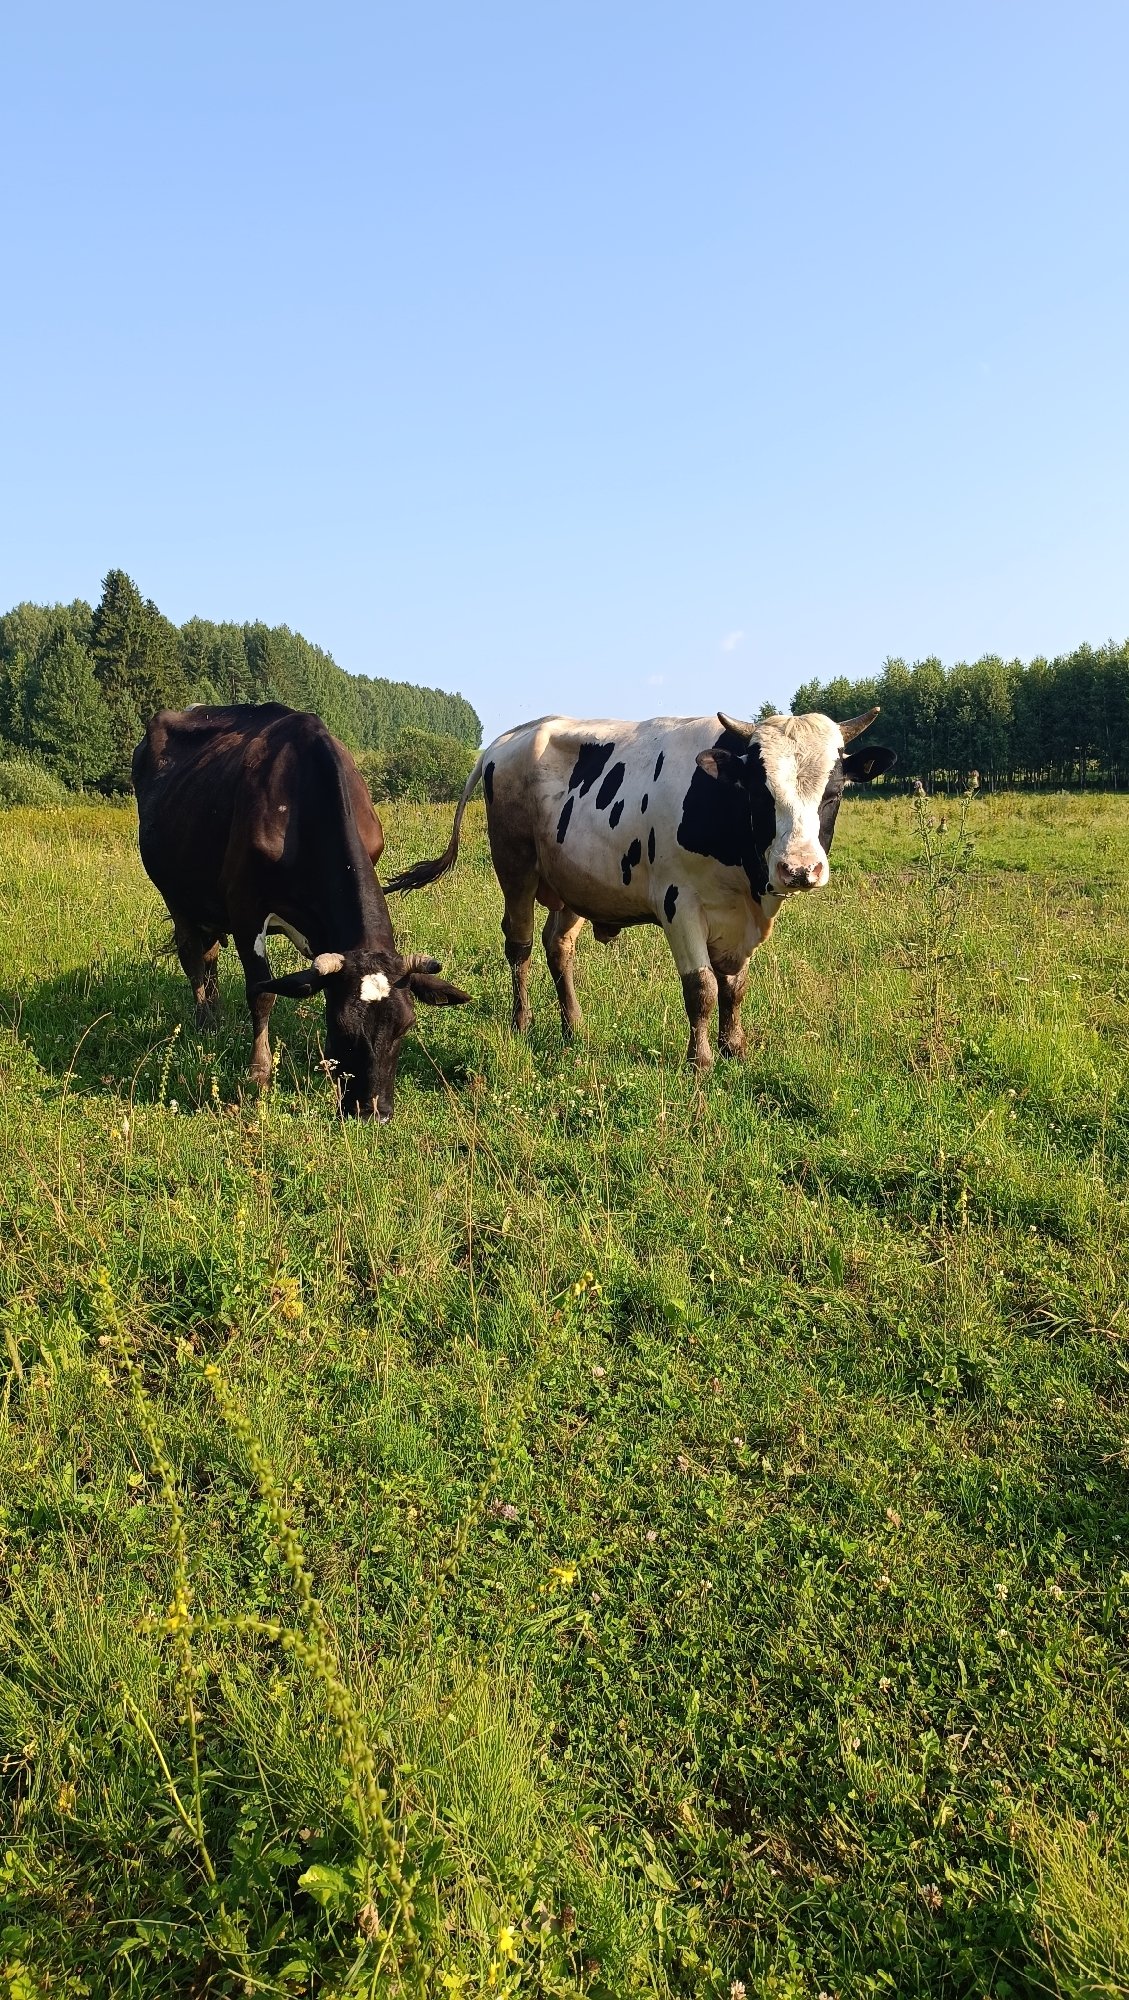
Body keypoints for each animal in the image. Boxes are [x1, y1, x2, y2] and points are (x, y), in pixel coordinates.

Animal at [132, 703, 470, 1119]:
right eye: (342, 1027)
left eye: (405, 1026)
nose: (373, 1111)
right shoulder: (245, 907)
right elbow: (262, 992)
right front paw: (259, 1072)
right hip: (177, 895)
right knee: (192, 955)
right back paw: (205, 1020)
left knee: (209, 954)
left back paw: (216, 1019)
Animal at [385, 706, 894, 1067]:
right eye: (759, 792)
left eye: (835, 792)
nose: (800, 869)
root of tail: (510, 738)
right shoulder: (679, 904)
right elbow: (702, 988)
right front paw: (700, 1061)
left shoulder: (740, 918)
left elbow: (734, 987)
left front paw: (735, 1049)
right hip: (516, 866)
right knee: (520, 944)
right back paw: (522, 1022)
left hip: (575, 879)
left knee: (558, 945)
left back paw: (574, 1026)